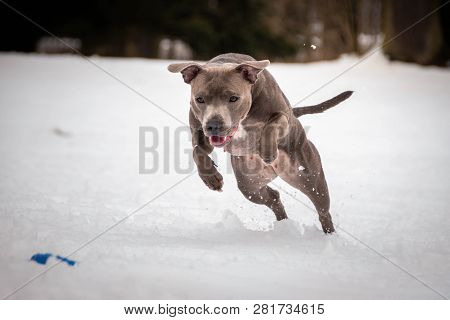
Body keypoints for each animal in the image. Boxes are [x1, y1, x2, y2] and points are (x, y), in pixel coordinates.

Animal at [168, 52, 352, 232]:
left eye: (233, 98)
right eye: (200, 99)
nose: (214, 125)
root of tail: (276, 170)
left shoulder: (283, 115)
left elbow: (273, 123)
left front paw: (267, 151)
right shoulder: (198, 130)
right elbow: (197, 150)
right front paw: (211, 178)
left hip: (309, 177)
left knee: (323, 210)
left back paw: (328, 234)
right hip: (250, 184)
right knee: (273, 197)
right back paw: (283, 225)